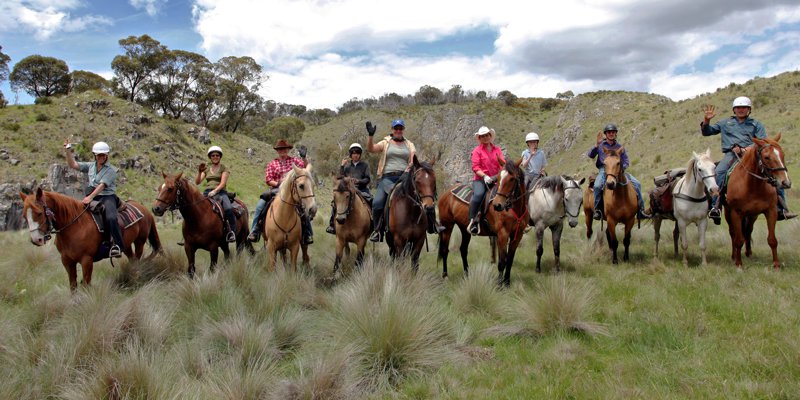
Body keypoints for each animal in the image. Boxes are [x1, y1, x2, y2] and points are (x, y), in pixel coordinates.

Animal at [21, 188, 162, 291]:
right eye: (24, 216)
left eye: (39, 213)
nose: (36, 240)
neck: (76, 226)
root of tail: (145, 210)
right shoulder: (67, 261)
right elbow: (73, 286)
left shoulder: (86, 260)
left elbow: (86, 284)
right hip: (126, 245)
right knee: (132, 259)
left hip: (139, 242)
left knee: (137, 259)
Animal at [724, 134, 791, 270]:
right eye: (767, 157)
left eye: (782, 154)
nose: (785, 182)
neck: (753, 185)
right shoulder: (736, 213)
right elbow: (738, 240)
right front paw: (739, 264)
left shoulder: (771, 211)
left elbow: (772, 239)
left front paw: (776, 264)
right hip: (728, 213)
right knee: (733, 234)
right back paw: (734, 257)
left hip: (752, 215)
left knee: (748, 231)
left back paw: (749, 253)